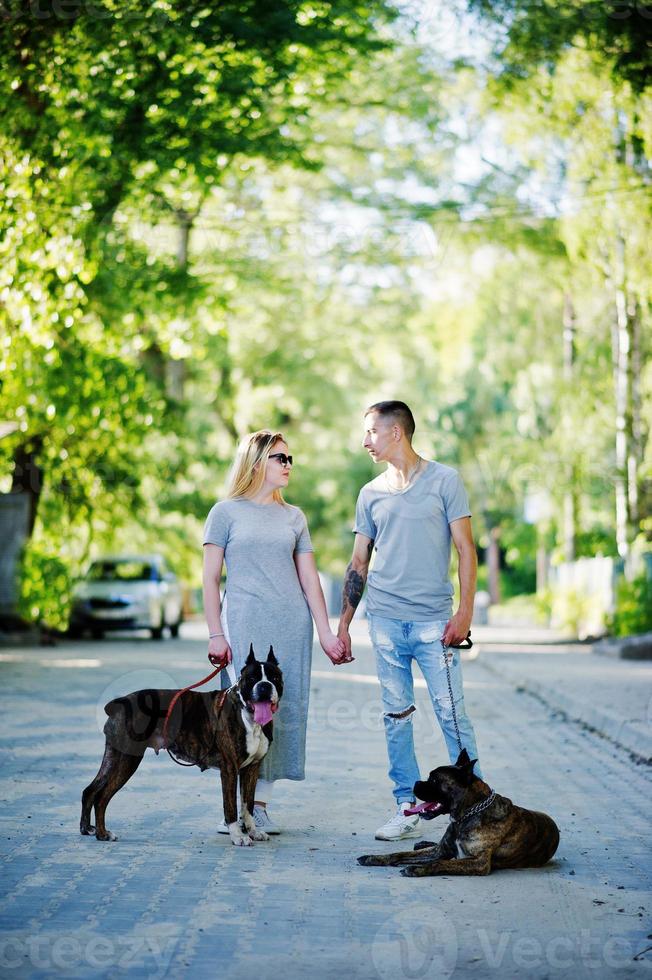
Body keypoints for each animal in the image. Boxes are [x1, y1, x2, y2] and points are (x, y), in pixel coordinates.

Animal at [79, 648, 282, 848]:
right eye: (252, 678)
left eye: (274, 677)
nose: (264, 686)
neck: (246, 714)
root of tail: (119, 703)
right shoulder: (230, 769)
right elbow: (231, 806)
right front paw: (238, 836)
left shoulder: (252, 769)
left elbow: (248, 805)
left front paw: (253, 831)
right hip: (127, 759)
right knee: (102, 797)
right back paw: (103, 834)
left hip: (114, 757)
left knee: (90, 790)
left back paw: (87, 829)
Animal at [356, 752, 560, 880]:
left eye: (434, 780)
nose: (415, 782)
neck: (467, 815)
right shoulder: (440, 851)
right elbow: (400, 853)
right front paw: (374, 858)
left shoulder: (478, 863)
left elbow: (440, 864)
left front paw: (417, 869)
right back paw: (422, 843)